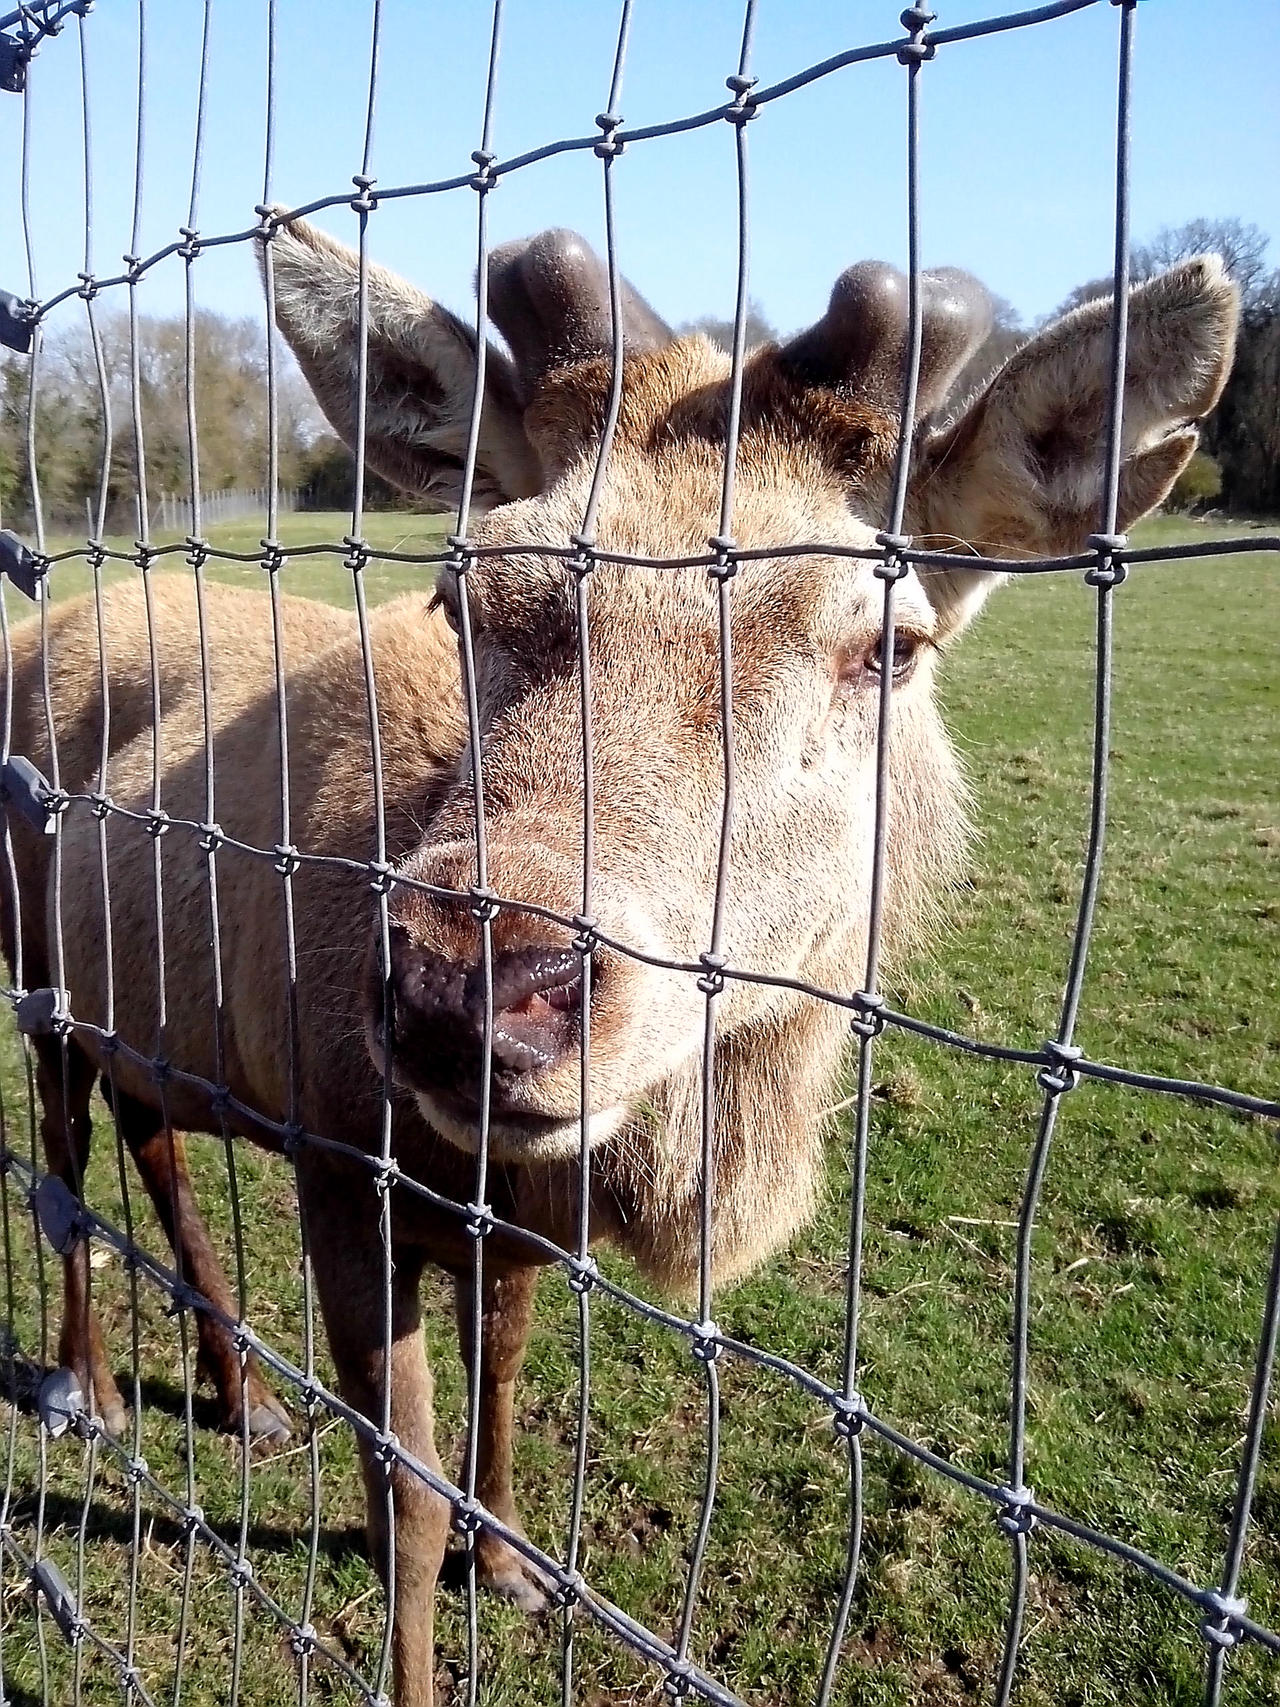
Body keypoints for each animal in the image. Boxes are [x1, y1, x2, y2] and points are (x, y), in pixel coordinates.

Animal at [2, 216, 1242, 1707]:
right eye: (462, 589)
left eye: (886, 643)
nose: (467, 981)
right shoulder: (337, 1157)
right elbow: (402, 1496)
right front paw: (424, 1637)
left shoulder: (519, 1213)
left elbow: (505, 1380)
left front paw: (514, 1560)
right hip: (31, 974)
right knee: (64, 1165)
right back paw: (86, 1389)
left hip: (143, 1014)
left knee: (155, 1139)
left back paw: (240, 1394)